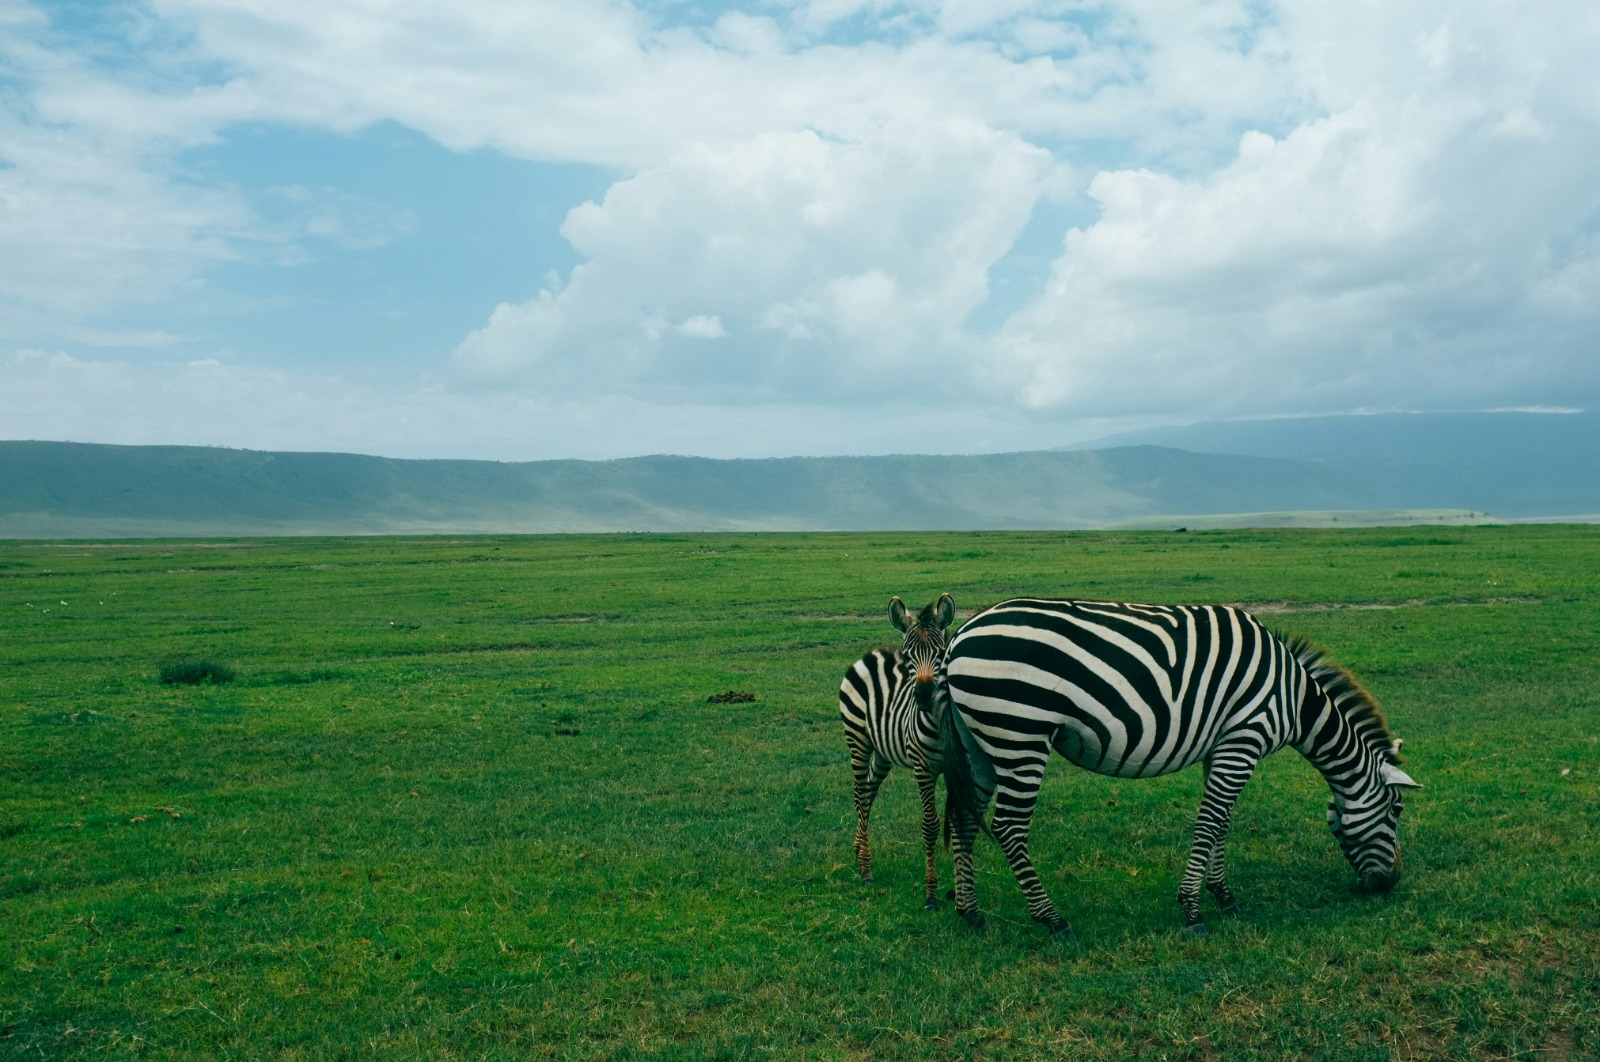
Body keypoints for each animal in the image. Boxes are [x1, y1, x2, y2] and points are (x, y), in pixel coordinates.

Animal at [838, 593, 955, 910]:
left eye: (941, 652)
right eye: (909, 655)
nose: (924, 696)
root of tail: (872, 654)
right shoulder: (923, 768)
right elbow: (931, 825)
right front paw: (931, 894)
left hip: (882, 753)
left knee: (867, 794)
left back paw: (858, 850)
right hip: (858, 740)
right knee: (859, 794)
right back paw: (866, 868)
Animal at [936, 597, 1421, 938]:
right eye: (1396, 810)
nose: (1390, 883)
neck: (1295, 699)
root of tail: (959, 636)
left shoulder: (1221, 748)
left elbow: (1222, 822)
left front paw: (1223, 896)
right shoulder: (1244, 739)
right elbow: (1209, 823)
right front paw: (1192, 910)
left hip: (980, 743)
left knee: (964, 817)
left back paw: (970, 913)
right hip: (1020, 734)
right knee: (1009, 828)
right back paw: (1053, 919)